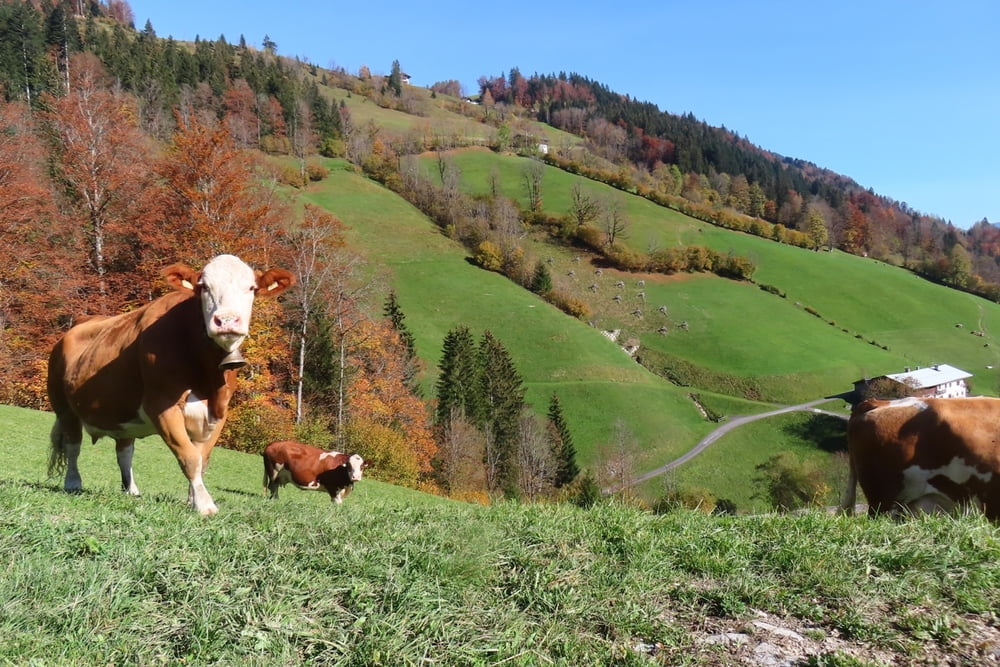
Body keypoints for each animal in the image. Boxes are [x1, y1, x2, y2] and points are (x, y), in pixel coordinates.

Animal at [47, 256, 292, 516]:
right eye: (203, 287)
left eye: (252, 288)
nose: (226, 321)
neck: (207, 378)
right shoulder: (161, 405)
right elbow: (190, 457)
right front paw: (204, 505)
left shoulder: (219, 411)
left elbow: (202, 459)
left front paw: (192, 499)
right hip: (63, 407)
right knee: (73, 445)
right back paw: (73, 483)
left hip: (122, 414)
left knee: (124, 451)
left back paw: (131, 490)